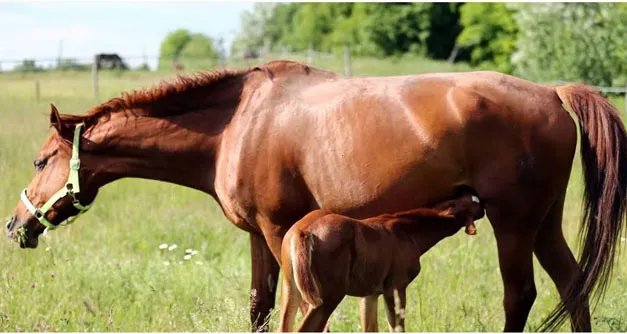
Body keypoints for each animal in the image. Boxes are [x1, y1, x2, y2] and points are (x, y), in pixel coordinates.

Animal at [280, 193, 486, 332]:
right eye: (472, 203)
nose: (483, 204)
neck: (409, 232)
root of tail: (302, 231)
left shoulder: (370, 293)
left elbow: (370, 328)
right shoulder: (395, 286)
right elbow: (397, 327)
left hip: (291, 289)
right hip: (328, 297)